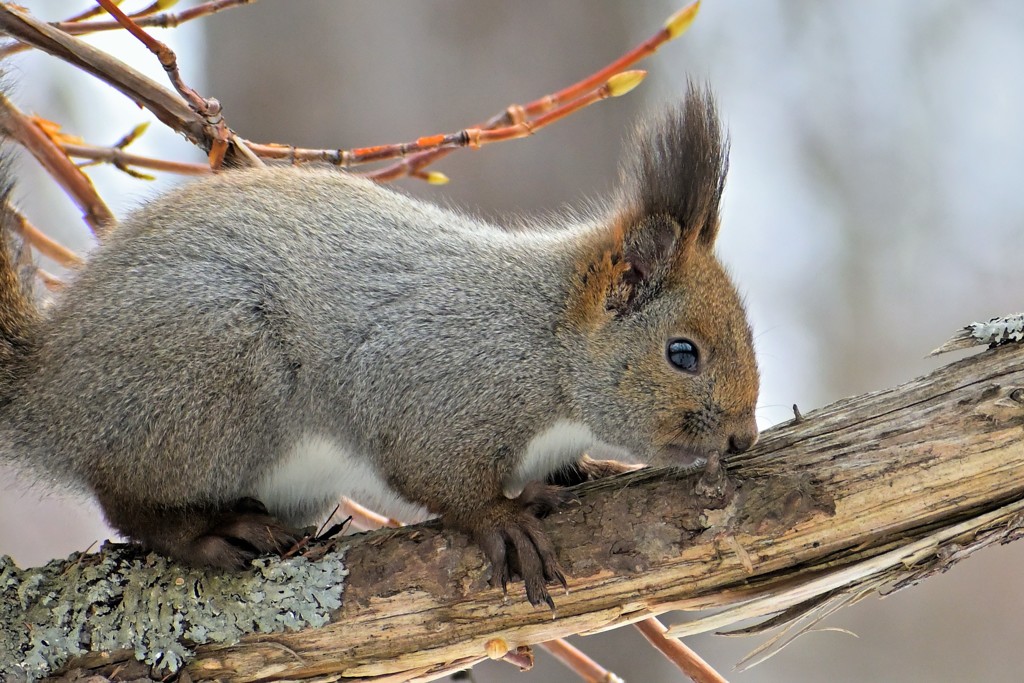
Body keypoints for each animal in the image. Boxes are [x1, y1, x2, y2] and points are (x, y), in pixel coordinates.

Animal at [2, 83, 761, 602]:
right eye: (683, 353)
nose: (744, 437)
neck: (544, 338)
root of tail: (49, 389)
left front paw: (590, 470)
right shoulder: (433, 387)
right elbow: (436, 475)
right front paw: (501, 519)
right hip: (214, 386)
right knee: (122, 498)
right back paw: (203, 533)